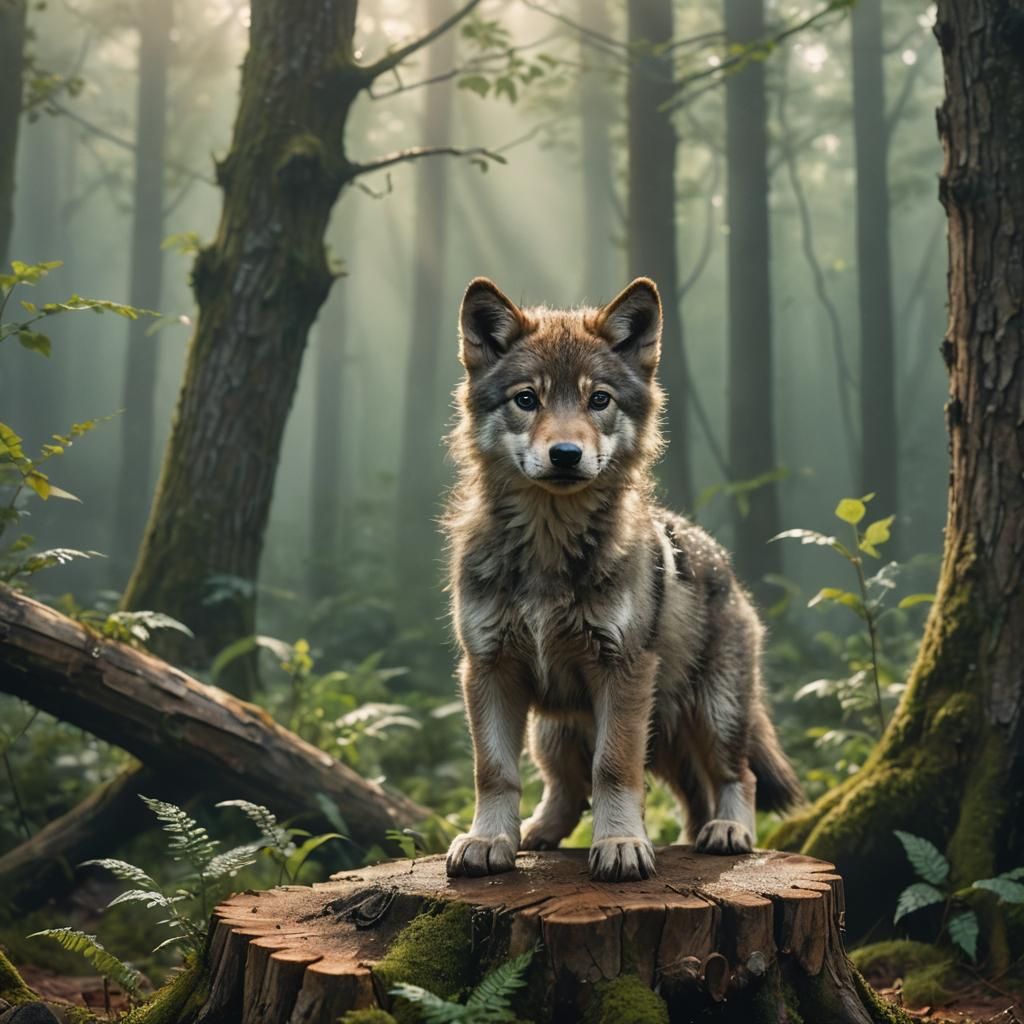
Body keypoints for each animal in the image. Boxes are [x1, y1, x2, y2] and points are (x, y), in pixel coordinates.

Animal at [444, 276, 802, 883]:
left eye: (599, 400)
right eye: (526, 399)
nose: (566, 454)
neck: (549, 548)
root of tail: (726, 568)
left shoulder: (624, 671)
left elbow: (613, 769)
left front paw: (620, 844)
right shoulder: (488, 667)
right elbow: (493, 771)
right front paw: (489, 840)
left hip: (716, 712)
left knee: (736, 776)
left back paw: (728, 833)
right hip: (555, 730)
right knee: (571, 790)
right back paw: (537, 833)